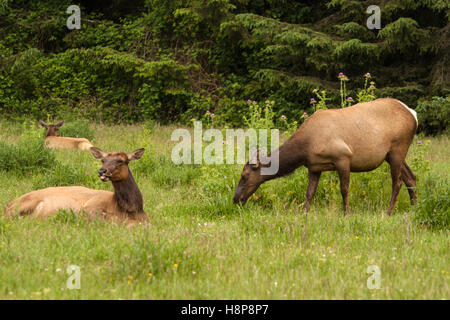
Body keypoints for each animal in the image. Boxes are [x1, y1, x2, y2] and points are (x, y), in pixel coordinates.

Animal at [4, 147, 149, 225]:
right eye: (103, 160)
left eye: (121, 160)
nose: (102, 171)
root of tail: (7, 204)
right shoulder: (90, 207)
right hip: (21, 206)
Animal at [236, 97, 418, 215]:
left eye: (244, 176)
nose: (235, 199)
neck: (305, 148)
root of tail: (413, 115)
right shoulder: (314, 167)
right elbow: (309, 192)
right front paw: (304, 213)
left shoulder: (343, 157)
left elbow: (344, 189)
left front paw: (346, 213)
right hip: (392, 154)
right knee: (411, 178)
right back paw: (413, 208)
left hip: (398, 149)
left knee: (397, 182)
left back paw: (388, 212)